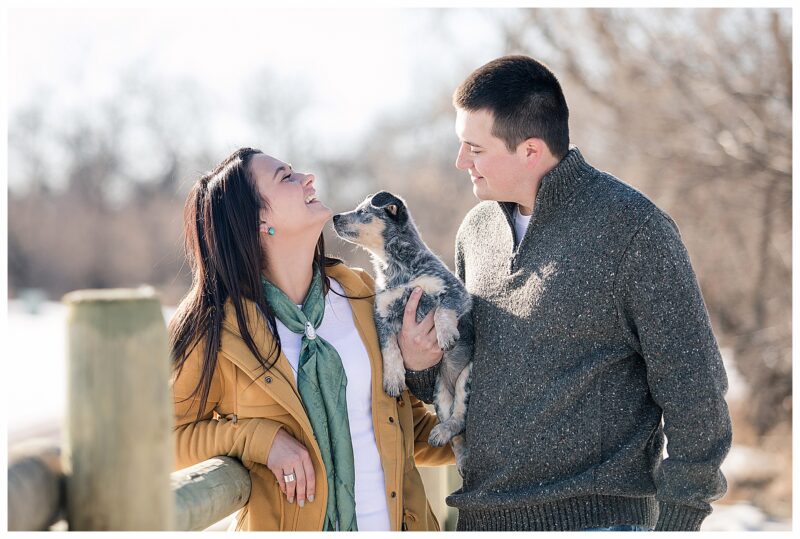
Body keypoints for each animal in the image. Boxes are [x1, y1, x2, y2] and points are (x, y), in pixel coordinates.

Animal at [332, 192, 472, 474]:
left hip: (467, 377)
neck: (397, 270)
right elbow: (390, 349)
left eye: (363, 211)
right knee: (457, 432)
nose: (334, 217)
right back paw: (449, 444)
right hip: (441, 394)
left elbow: (442, 310)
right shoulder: (382, 314)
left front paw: (446, 334)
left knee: (461, 418)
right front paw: (394, 378)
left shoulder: (455, 292)